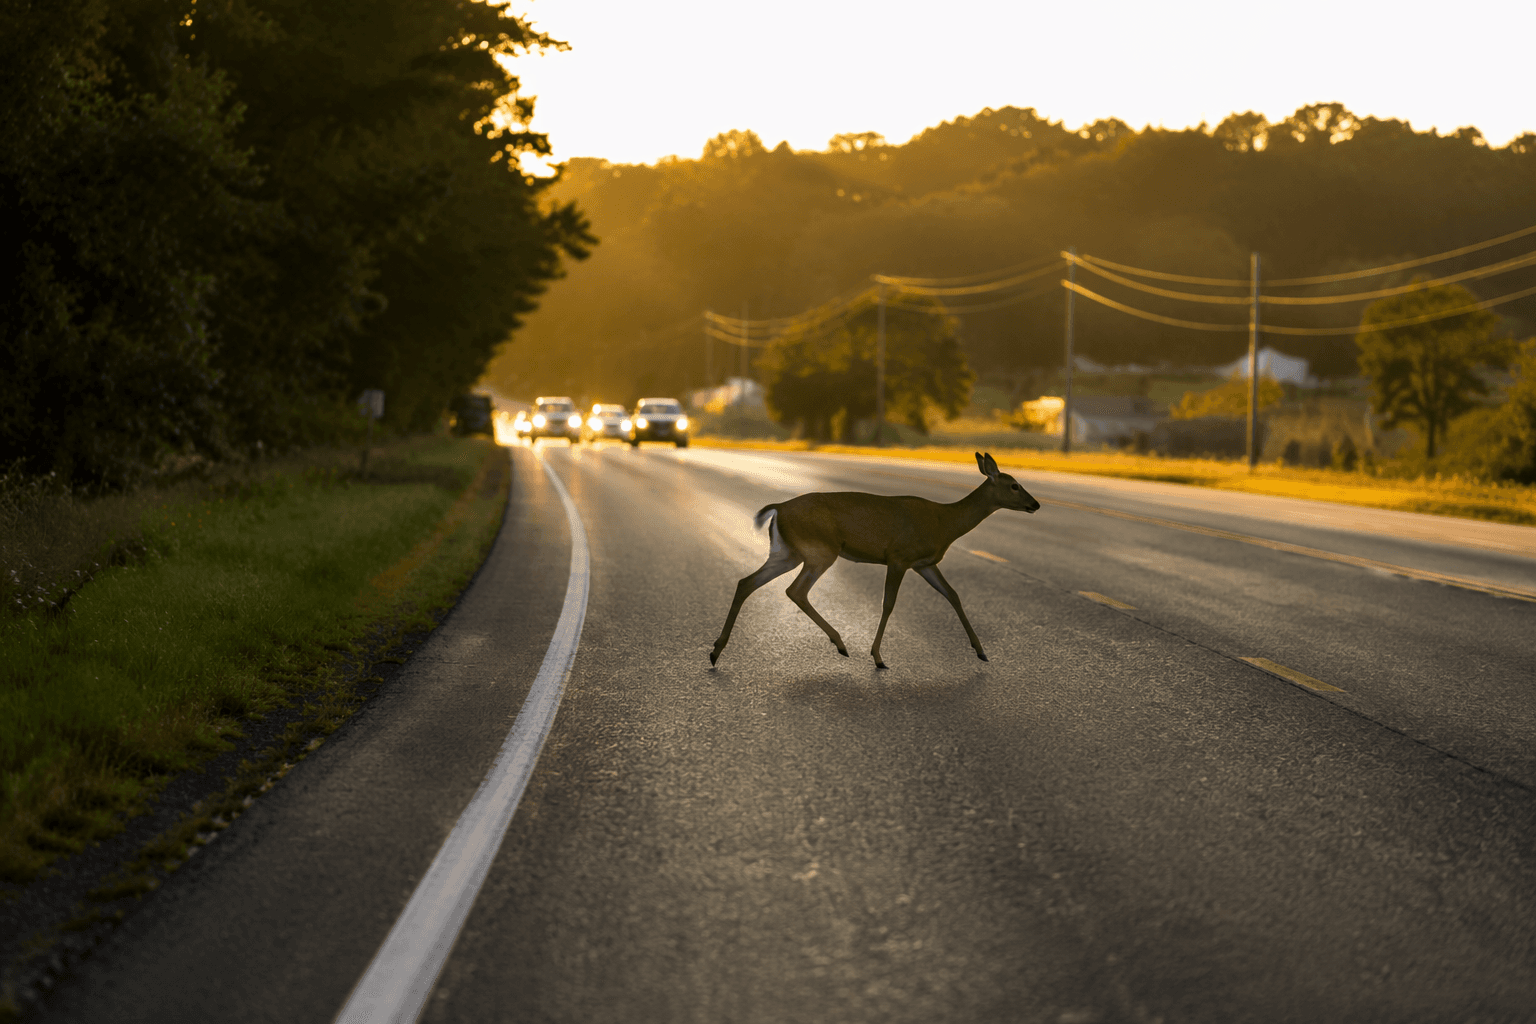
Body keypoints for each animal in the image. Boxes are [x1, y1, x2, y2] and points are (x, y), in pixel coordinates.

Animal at [710, 452, 1040, 668]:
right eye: (1014, 485)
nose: (1035, 504)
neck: (944, 523)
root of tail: (778, 507)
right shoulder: (899, 556)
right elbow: (888, 604)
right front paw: (878, 658)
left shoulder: (925, 563)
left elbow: (953, 595)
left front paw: (981, 651)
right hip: (820, 550)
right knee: (795, 591)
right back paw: (841, 644)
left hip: (787, 552)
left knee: (746, 582)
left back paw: (715, 651)